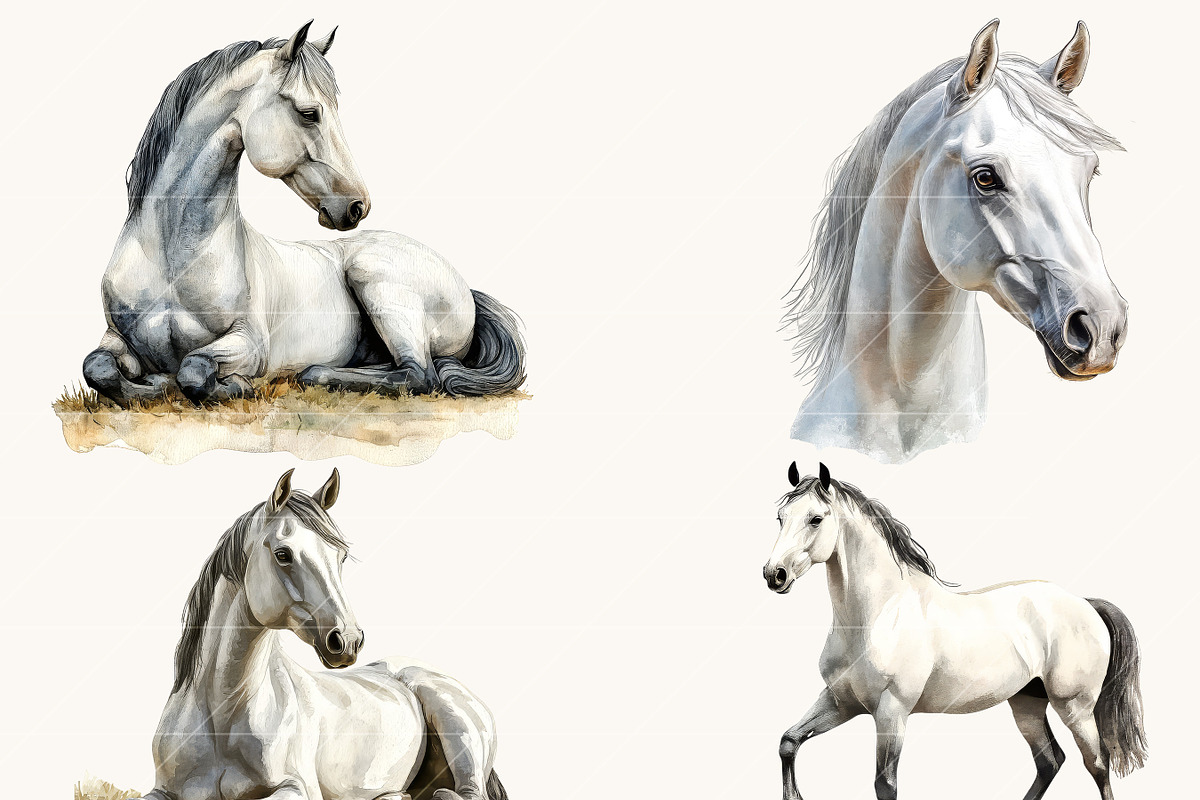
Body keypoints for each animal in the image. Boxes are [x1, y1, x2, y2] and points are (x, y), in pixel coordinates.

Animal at [82, 21, 526, 407]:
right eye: (310, 113)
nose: (357, 205)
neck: (174, 260)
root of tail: (465, 288)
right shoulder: (115, 338)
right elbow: (97, 367)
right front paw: (154, 383)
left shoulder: (250, 343)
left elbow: (193, 368)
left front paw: (233, 386)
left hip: (374, 277)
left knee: (419, 374)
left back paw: (314, 374)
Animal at [137, 468, 508, 800]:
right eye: (282, 554)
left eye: (340, 556)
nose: (347, 640)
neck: (222, 716)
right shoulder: (160, 792)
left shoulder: (297, 788)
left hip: (457, 731)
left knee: (464, 794)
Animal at [761, 462, 1146, 800]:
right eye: (781, 517)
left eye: (815, 519)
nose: (774, 574)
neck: (877, 615)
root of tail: (1085, 603)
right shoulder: (841, 702)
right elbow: (788, 742)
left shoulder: (891, 710)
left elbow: (885, 784)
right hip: (1027, 704)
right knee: (1050, 761)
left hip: (1074, 707)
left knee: (1097, 764)